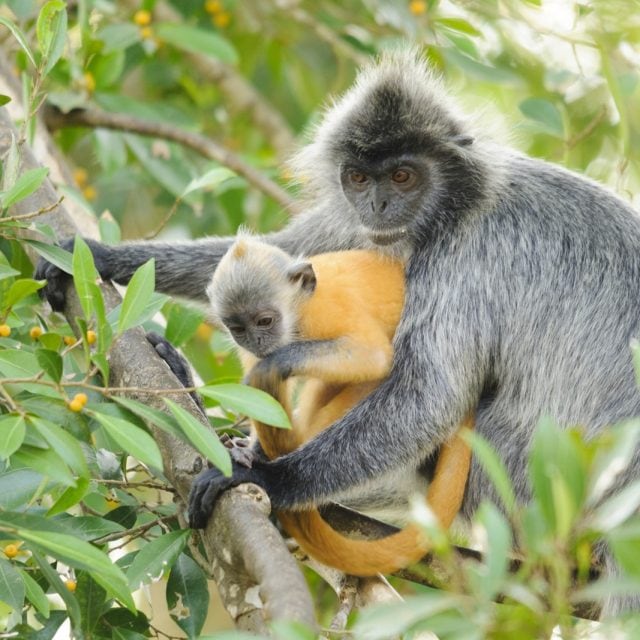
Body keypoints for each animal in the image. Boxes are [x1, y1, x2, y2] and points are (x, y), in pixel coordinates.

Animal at [205, 235, 473, 575]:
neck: (299, 311)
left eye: (264, 321)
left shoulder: (325, 312)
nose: (256, 341)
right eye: (239, 329)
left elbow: (374, 357)